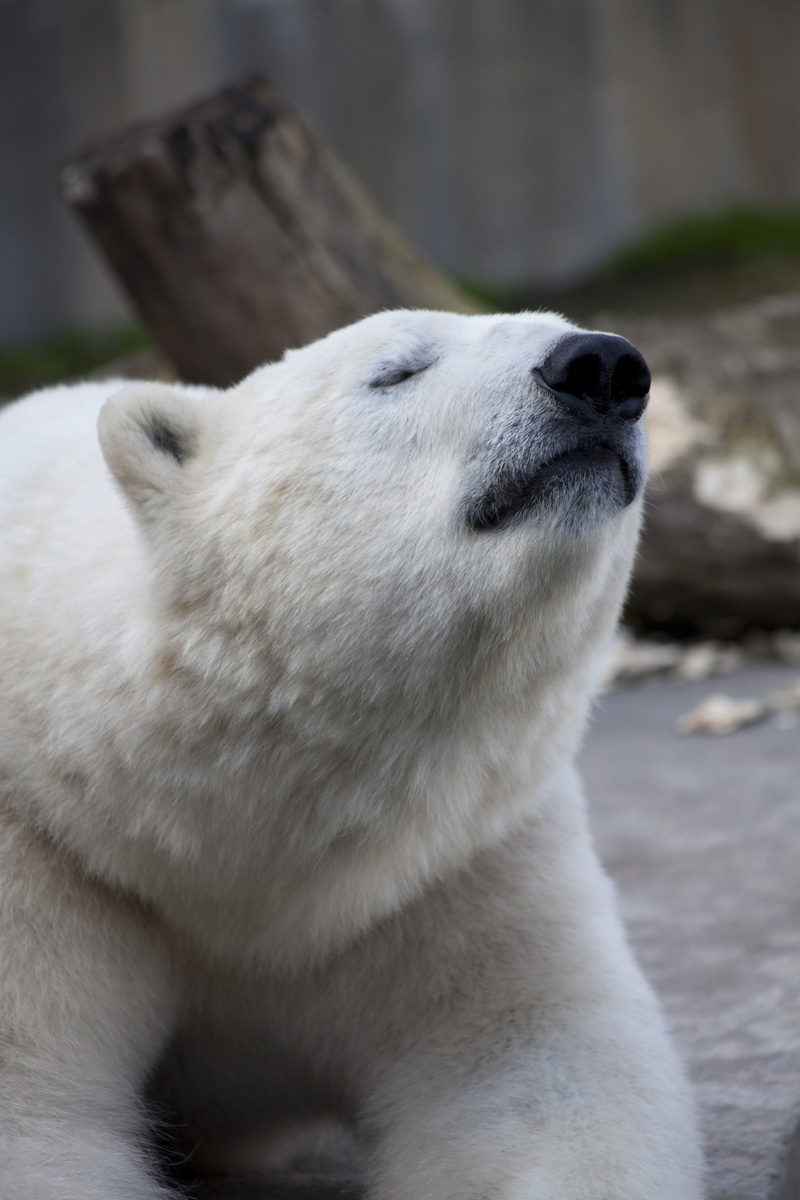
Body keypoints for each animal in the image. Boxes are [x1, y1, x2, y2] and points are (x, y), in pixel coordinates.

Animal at [0, 309, 703, 1200]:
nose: (602, 367)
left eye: (565, 329)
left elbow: (543, 1072)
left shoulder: (447, 861)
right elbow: (29, 1115)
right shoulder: (51, 856)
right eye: (396, 371)